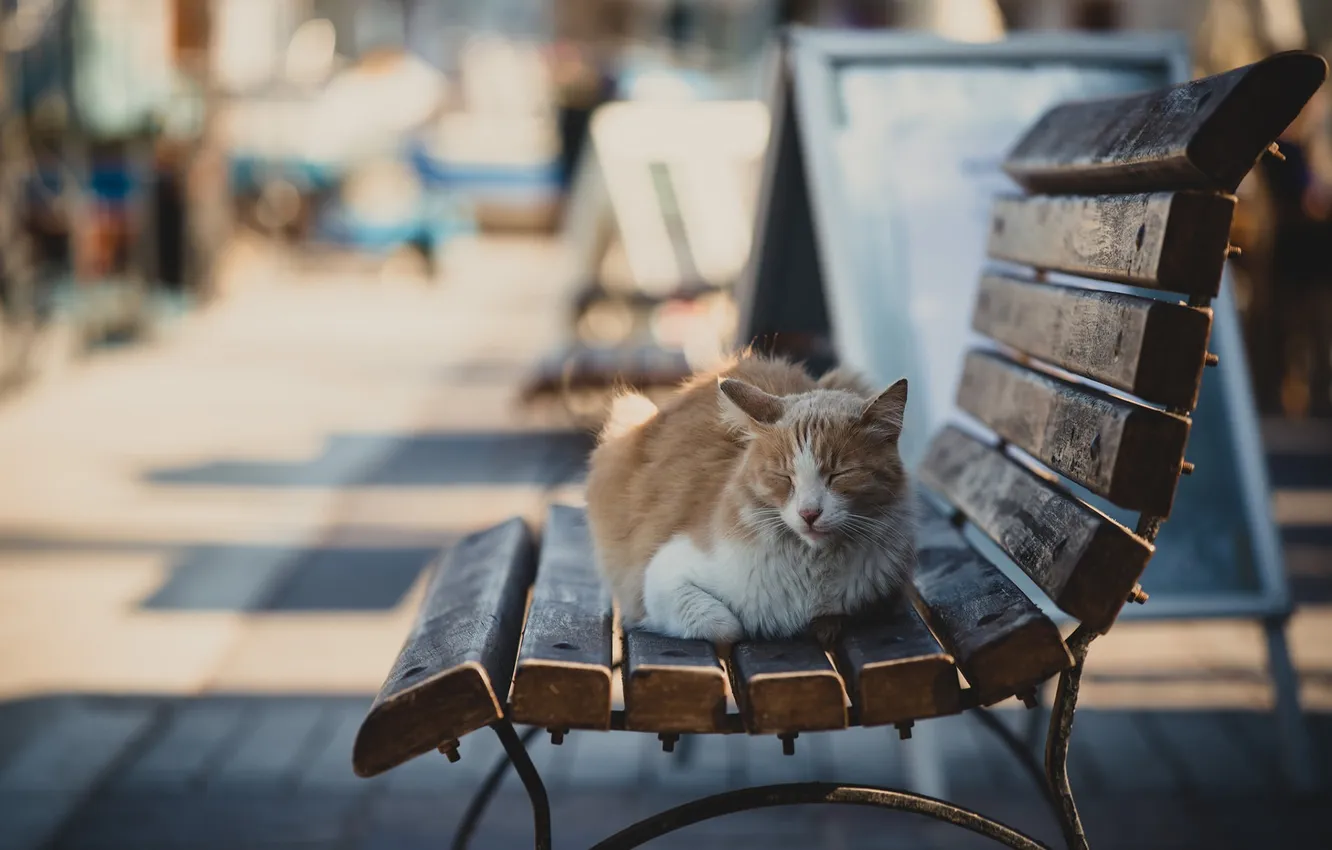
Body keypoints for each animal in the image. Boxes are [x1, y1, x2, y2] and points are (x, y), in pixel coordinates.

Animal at [586, 354, 916, 644]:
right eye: (784, 477)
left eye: (839, 475)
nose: (809, 513)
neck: (810, 577)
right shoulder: (661, 576)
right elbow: (727, 626)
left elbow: (837, 617)